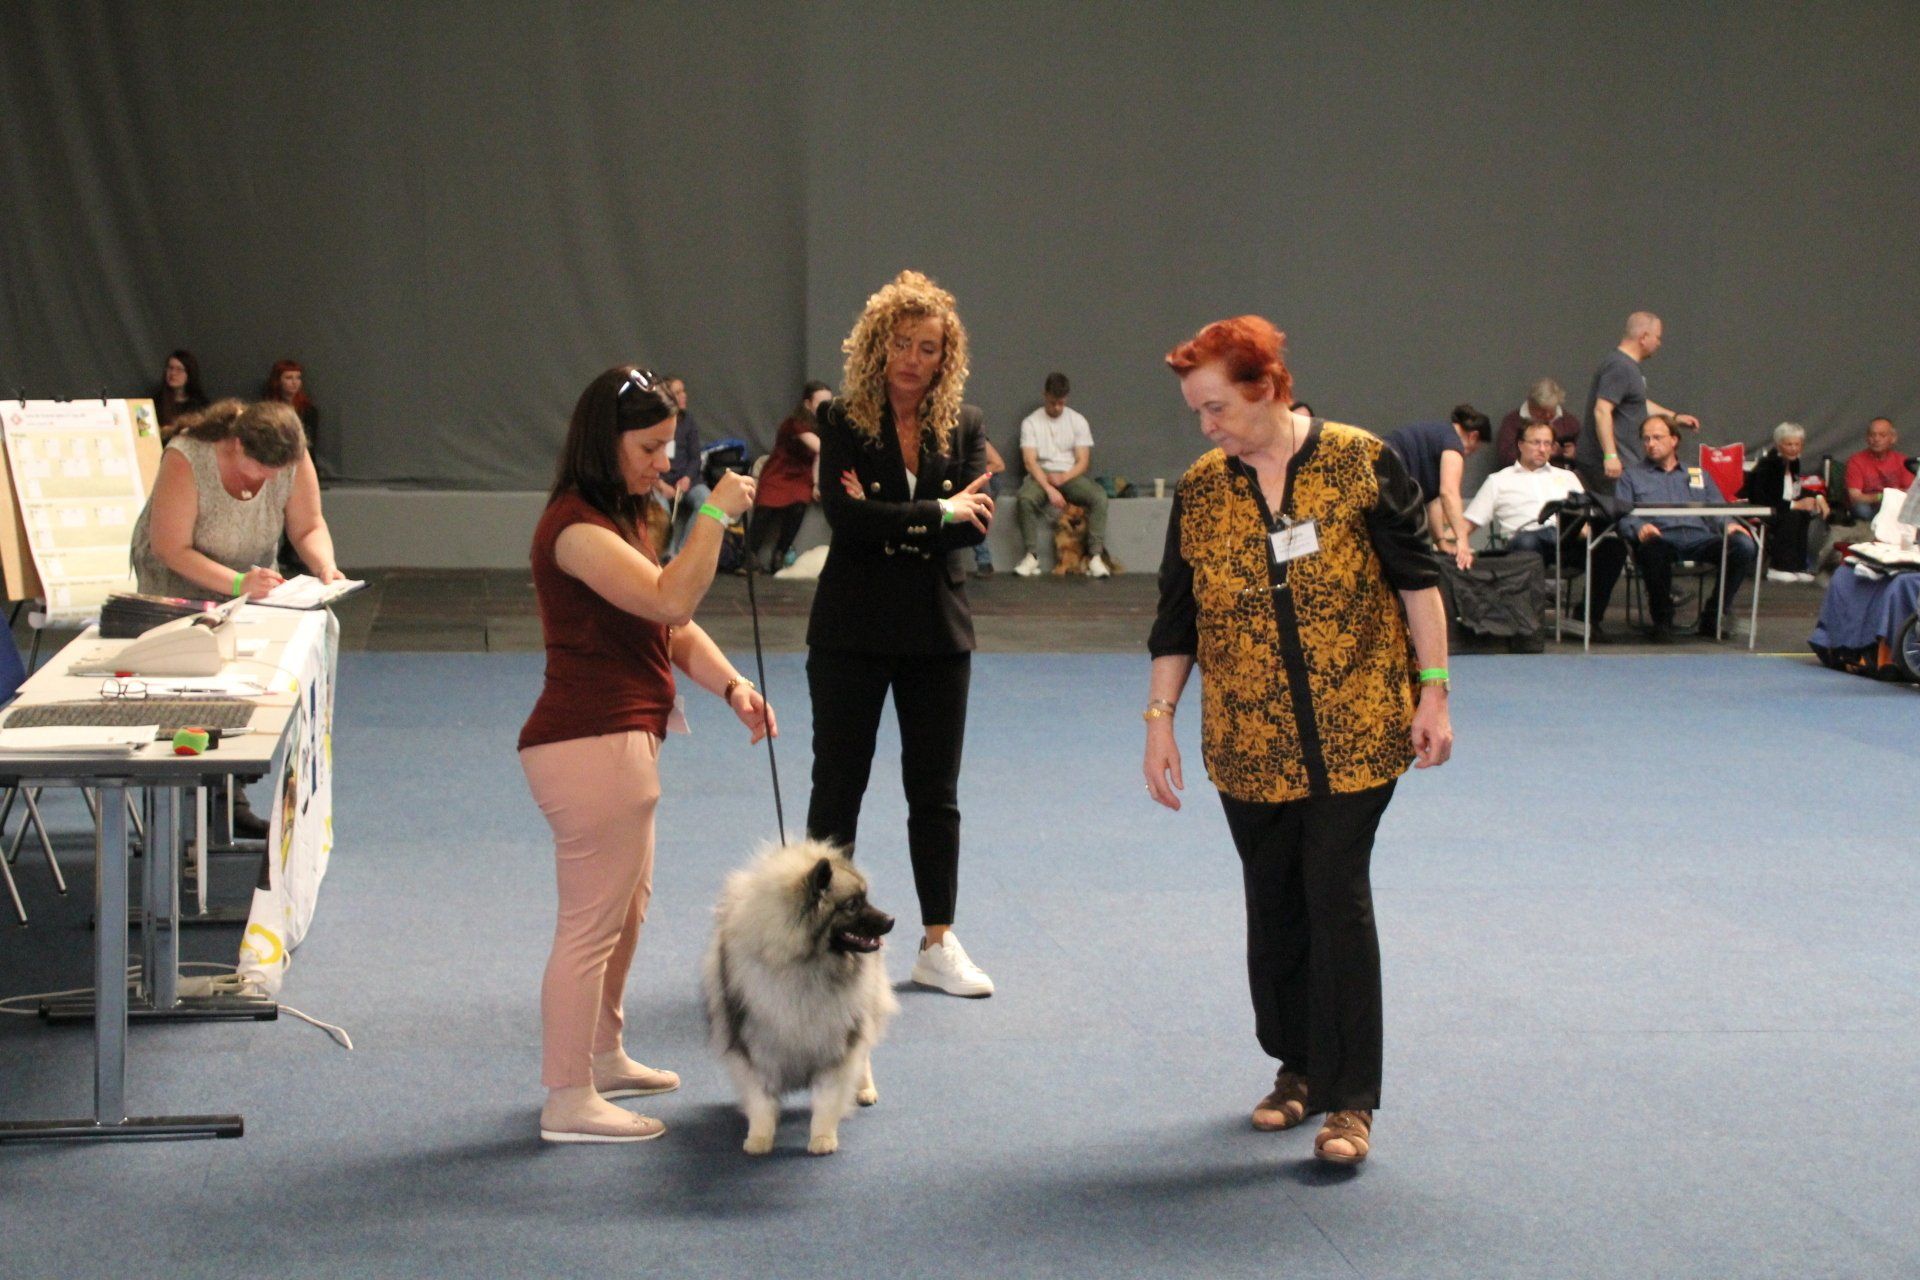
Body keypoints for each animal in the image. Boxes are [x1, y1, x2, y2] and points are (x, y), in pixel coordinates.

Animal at [702, 840, 898, 1156]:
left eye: (866, 898)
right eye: (852, 905)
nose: (890, 920)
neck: (803, 966)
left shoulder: (837, 1044)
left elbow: (828, 1099)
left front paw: (822, 1138)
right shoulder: (754, 1044)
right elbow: (760, 1099)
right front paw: (759, 1137)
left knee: (865, 1053)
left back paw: (865, 1089)